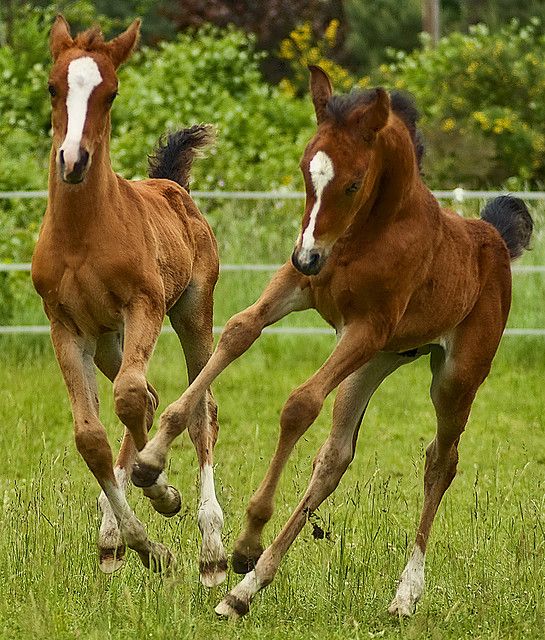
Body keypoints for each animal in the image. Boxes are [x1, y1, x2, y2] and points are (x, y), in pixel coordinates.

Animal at [30, 15, 226, 584]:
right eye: (52, 87)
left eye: (111, 92)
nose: (74, 160)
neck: (82, 235)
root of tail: (171, 185)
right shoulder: (65, 327)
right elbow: (92, 436)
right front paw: (145, 545)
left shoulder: (145, 306)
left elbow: (133, 398)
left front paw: (160, 489)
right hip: (108, 340)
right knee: (152, 397)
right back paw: (113, 537)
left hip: (191, 314)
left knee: (200, 406)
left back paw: (211, 550)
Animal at [133, 66, 532, 616]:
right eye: (307, 171)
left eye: (353, 182)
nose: (308, 256)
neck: (368, 236)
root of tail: (493, 238)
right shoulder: (294, 287)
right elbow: (238, 332)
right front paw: (151, 460)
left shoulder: (368, 326)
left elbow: (299, 404)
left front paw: (248, 534)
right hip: (372, 364)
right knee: (335, 458)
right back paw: (243, 591)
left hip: (453, 377)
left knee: (441, 461)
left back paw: (404, 594)